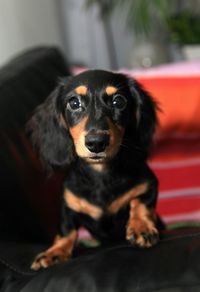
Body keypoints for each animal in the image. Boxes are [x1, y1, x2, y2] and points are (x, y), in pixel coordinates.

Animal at [27, 69, 161, 270]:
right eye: (74, 102)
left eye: (119, 101)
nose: (96, 143)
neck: (100, 175)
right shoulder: (68, 205)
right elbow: (66, 231)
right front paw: (54, 252)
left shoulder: (149, 184)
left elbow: (140, 203)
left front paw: (141, 228)